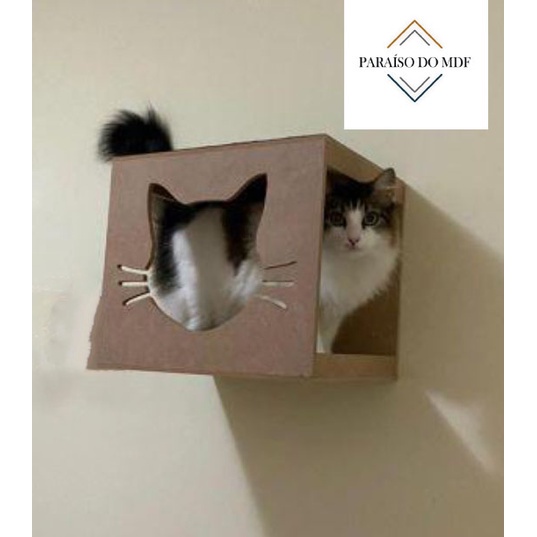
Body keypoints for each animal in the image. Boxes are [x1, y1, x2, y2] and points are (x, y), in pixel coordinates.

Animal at [98, 108, 399, 350]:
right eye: (336, 218)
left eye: (370, 219)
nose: (354, 239)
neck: (346, 267)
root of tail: (188, 207)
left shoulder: (332, 315)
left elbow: (325, 345)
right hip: (194, 282)